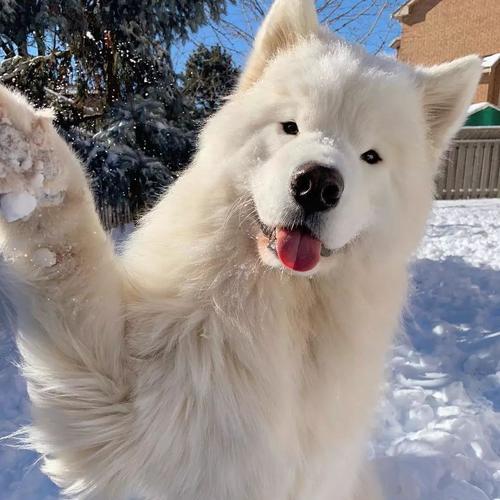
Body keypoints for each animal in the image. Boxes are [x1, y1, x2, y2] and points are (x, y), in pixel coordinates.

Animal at [0, 0, 480, 500]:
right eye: (290, 127)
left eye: (371, 156)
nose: (318, 184)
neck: (286, 300)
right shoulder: (122, 409)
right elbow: (66, 250)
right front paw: (22, 149)